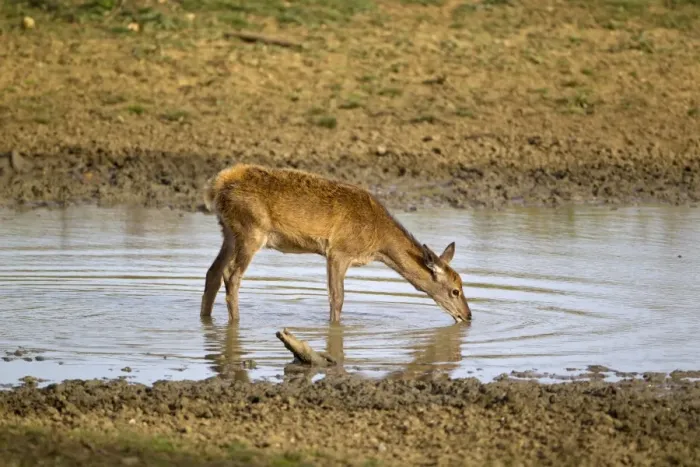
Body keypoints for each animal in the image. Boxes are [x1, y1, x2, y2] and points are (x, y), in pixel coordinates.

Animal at [199, 163, 472, 324]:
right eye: (455, 290)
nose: (468, 315)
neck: (378, 242)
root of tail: (216, 185)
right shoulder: (339, 251)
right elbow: (337, 297)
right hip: (251, 231)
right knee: (232, 274)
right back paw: (235, 322)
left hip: (228, 231)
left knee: (213, 271)